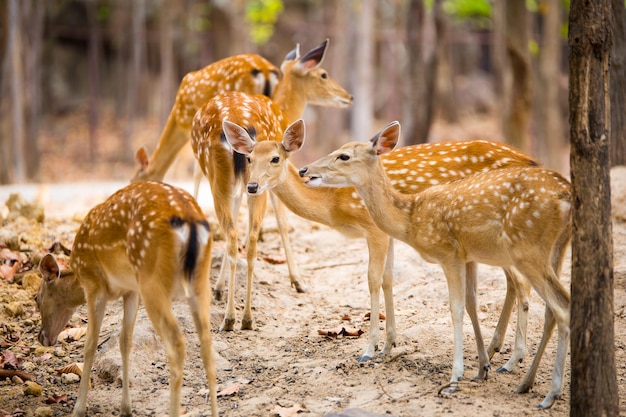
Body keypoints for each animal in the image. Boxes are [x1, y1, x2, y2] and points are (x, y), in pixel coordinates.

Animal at [35, 184, 219, 416]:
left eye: (36, 299)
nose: (42, 337)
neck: (78, 272)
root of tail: (190, 220)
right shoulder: (131, 291)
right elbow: (125, 341)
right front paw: (126, 408)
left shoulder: (94, 286)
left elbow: (90, 344)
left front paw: (78, 409)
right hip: (200, 281)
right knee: (207, 346)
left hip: (152, 280)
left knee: (177, 344)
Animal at [298, 120, 572, 410]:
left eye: (344, 156)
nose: (305, 170)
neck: (412, 218)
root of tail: (565, 193)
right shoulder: (467, 256)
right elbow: (472, 303)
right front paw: (482, 367)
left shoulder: (448, 253)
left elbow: (456, 309)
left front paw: (455, 377)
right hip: (554, 248)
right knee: (552, 307)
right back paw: (526, 383)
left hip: (526, 249)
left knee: (559, 305)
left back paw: (547, 392)